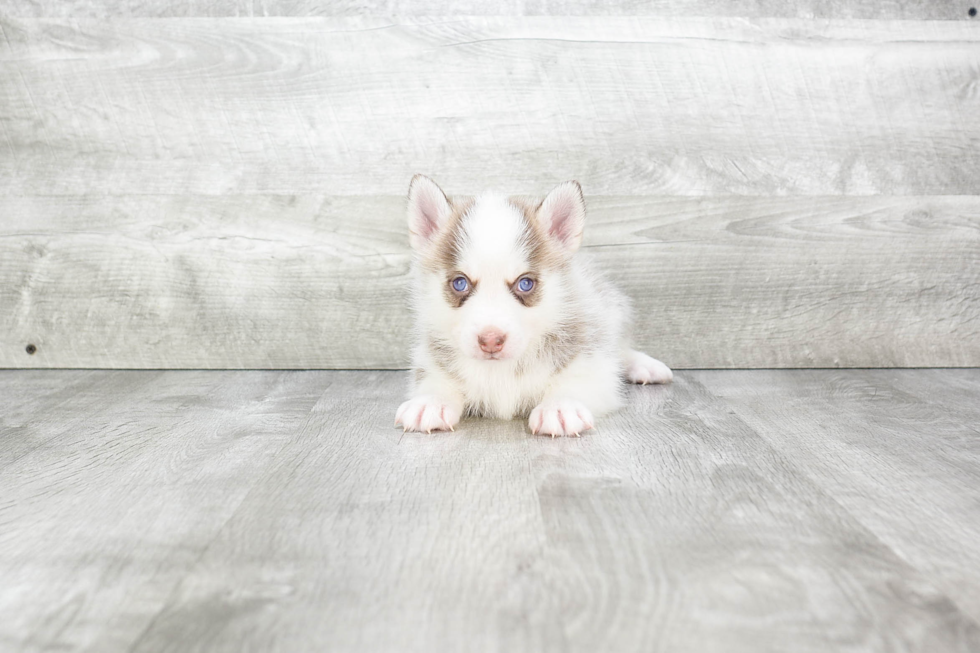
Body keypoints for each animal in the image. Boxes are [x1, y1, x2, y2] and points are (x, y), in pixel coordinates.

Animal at [394, 176, 668, 436]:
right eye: (460, 283)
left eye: (525, 283)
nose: (491, 340)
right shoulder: (429, 358)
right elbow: (434, 379)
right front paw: (430, 400)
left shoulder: (593, 359)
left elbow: (579, 378)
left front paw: (560, 406)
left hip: (609, 309)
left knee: (619, 346)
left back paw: (645, 366)